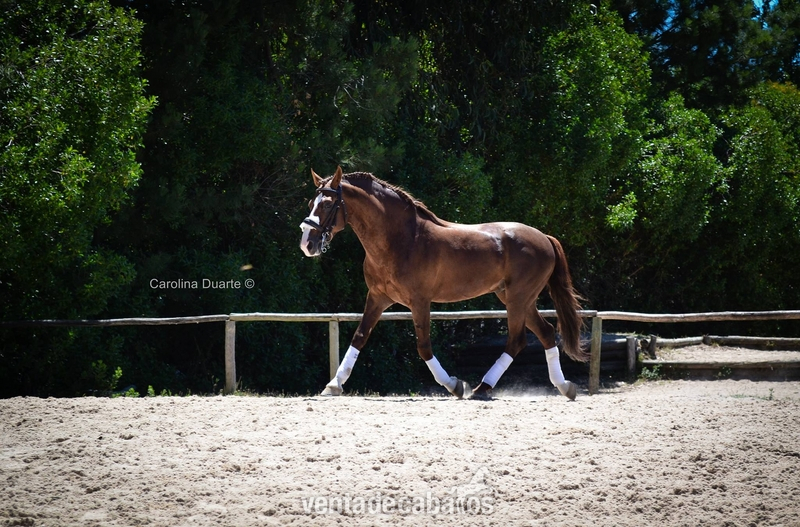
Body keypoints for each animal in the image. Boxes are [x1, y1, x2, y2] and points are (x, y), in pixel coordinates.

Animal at [299, 166, 588, 400]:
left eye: (327, 204)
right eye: (312, 202)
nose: (306, 243)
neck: (401, 240)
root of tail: (544, 237)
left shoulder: (419, 301)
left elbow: (423, 346)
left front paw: (454, 385)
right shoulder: (378, 297)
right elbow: (359, 337)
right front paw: (333, 385)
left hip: (518, 298)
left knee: (517, 340)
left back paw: (481, 388)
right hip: (516, 298)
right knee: (546, 333)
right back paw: (565, 387)